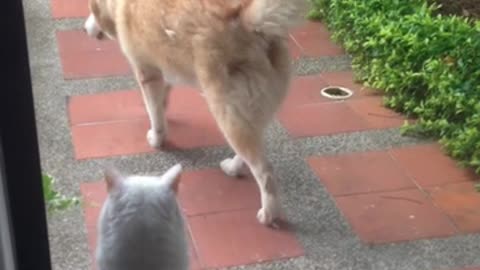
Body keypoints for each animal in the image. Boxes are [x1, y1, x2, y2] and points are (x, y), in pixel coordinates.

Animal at [84, 0, 306, 227]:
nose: (84, 29)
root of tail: (245, 18)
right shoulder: (164, 68)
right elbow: (162, 102)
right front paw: (164, 114)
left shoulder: (147, 72)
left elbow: (154, 111)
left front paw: (157, 138)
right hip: (248, 113)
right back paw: (233, 168)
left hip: (228, 114)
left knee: (265, 172)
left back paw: (269, 213)